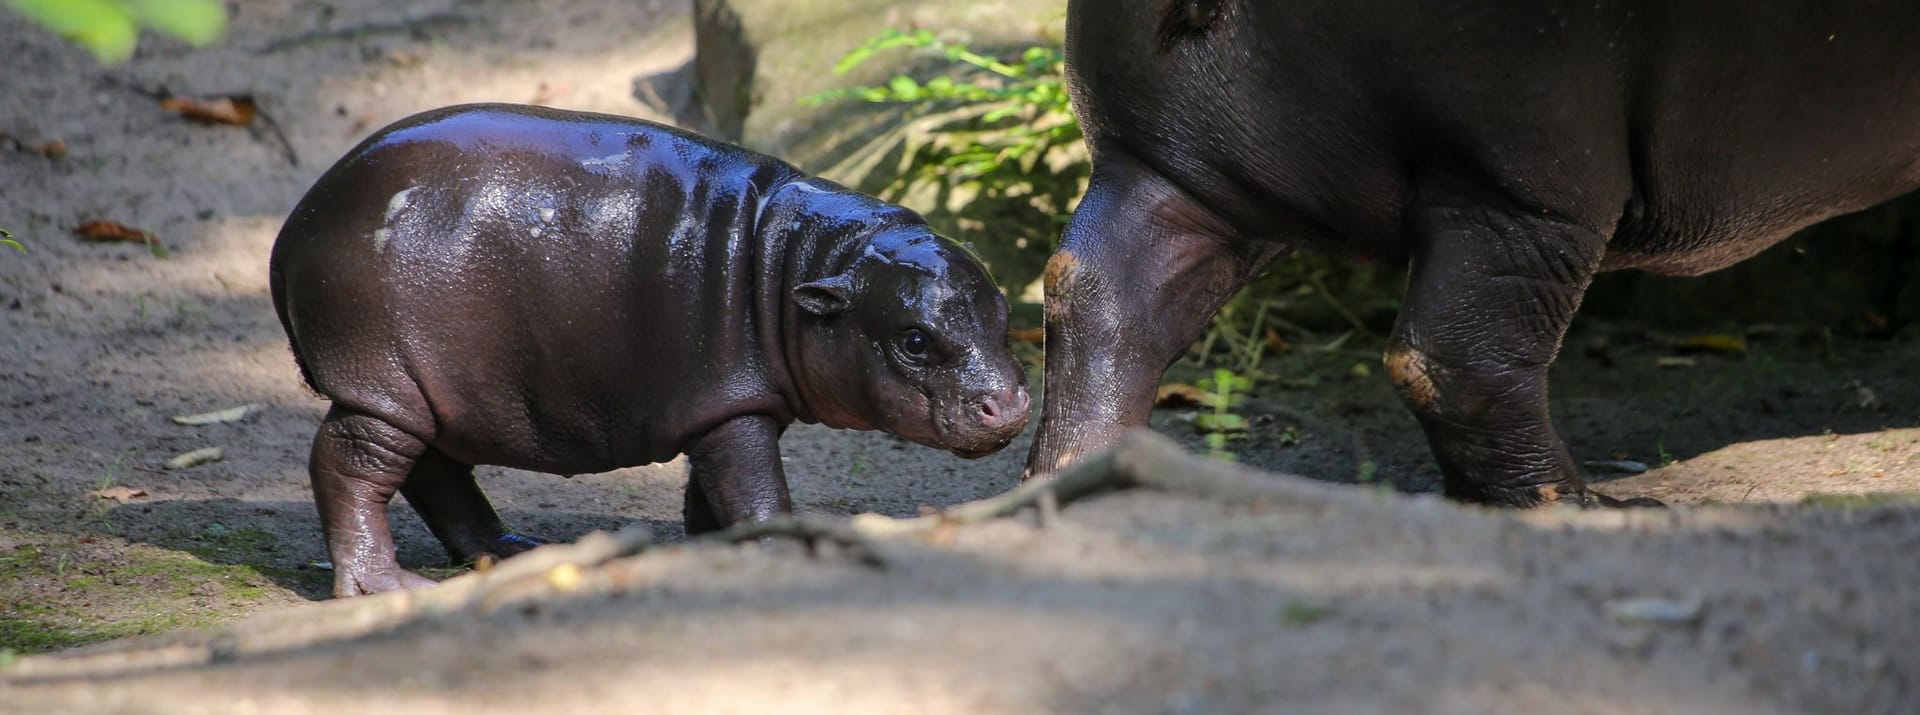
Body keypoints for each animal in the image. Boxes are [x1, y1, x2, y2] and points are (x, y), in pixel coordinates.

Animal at [270, 103, 1036, 595]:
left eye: (1005, 314)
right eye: (914, 339)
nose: (1010, 404)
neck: (807, 259)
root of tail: (294, 227)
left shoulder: (722, 405)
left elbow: (713, 489)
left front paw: (707, 550)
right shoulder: (734, 407)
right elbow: (756, 488)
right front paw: (778, 546)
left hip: (430, 391)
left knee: (435, 470)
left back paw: (514, 551)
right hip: (383, 383)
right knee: (349, 464)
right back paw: (386, 585)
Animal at [1036, 0, 1920, 507]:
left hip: (1168, 169)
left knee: (1101, 296)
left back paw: (1088, 478)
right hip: (1522, 182)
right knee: (1454, 358)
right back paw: (1584, 505)